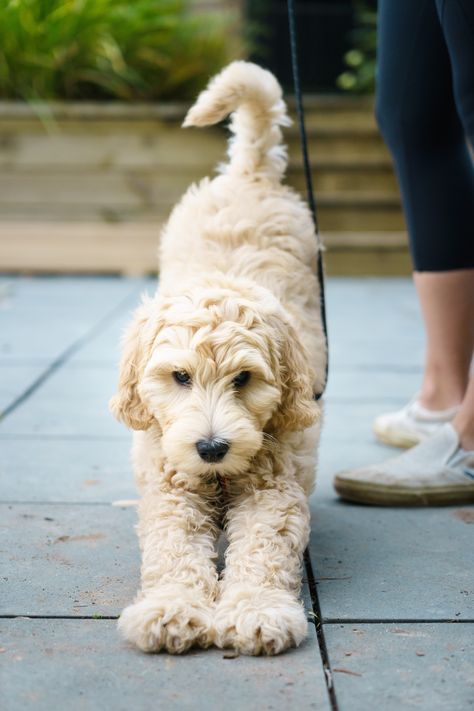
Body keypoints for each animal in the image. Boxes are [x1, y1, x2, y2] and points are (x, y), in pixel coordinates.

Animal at [110, 61, 326, 656]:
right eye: (180, 377)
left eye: (244, 379)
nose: (211, 448)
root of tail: (248, 173)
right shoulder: (170, 489)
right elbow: (173, 552)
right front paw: (171, 608)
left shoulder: (274, 491)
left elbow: (264, 551)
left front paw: (256, 610)